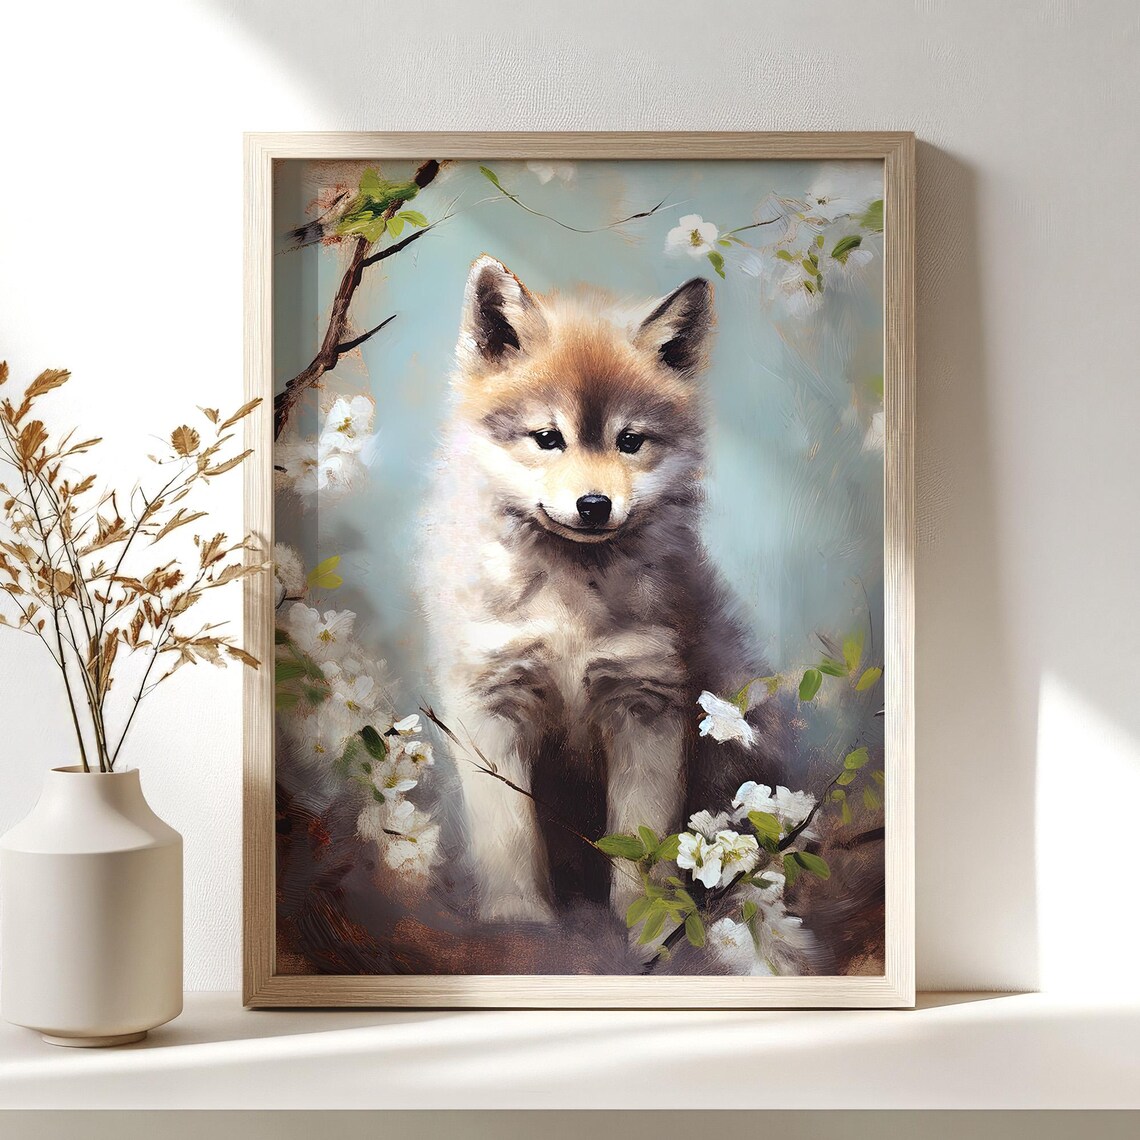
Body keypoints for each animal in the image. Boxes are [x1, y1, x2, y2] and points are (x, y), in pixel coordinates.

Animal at [421, 256, 784, 924]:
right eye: (547, 437)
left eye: (629, 440)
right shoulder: (491, 702)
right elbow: (509, 833)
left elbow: (644, 838)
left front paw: (646, 922)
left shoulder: (648, 701)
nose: (594, 505)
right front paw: (519, 920)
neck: (569, 602)